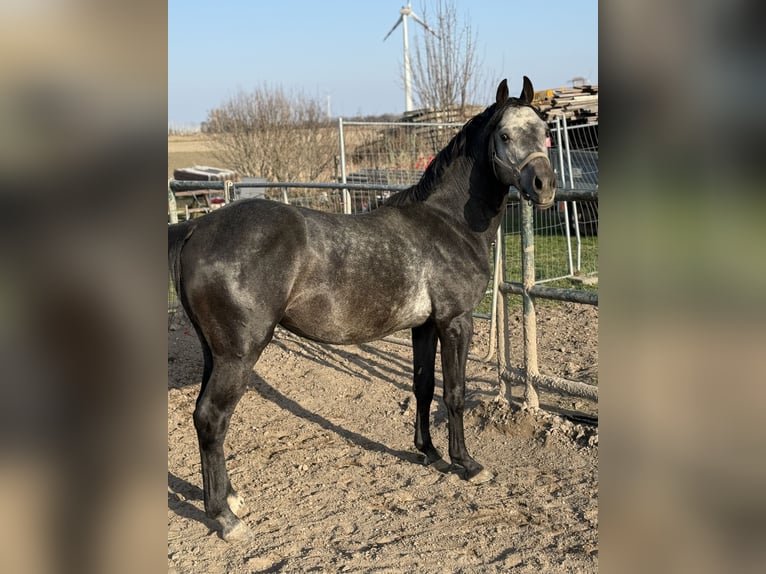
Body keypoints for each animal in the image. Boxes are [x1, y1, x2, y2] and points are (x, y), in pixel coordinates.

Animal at [168, 77, 556, 541]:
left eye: (545, 131)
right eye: (505, 135)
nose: (545, 186)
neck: (448, 224)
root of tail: (195, 228)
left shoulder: (424, 325)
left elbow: (423, 386)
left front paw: (427, 452)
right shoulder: (455, 322)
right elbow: (455, 393)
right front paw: (467, 464)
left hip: (215, 352)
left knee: (206, 419)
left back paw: (230, 498)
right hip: (238, 355)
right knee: (212, 419)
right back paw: (224, 518)